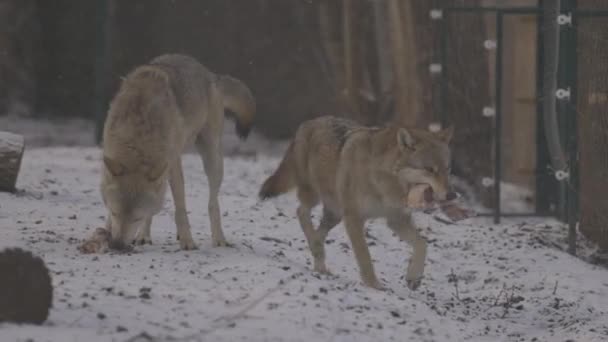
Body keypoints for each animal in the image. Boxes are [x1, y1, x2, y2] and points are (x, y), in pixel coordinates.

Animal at [258, 116, 454, 290]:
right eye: (430, 169)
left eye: (447, 169)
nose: (452, 195)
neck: (384, 181)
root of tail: (308, 123)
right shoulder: (354, 218)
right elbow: (364, 256)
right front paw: (373, 285)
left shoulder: (397, 220)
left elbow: (422, 244)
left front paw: (414, 278)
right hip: (315, 197)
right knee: (301, 212)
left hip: (335, 214)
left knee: (318, 233)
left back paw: (319, 259)